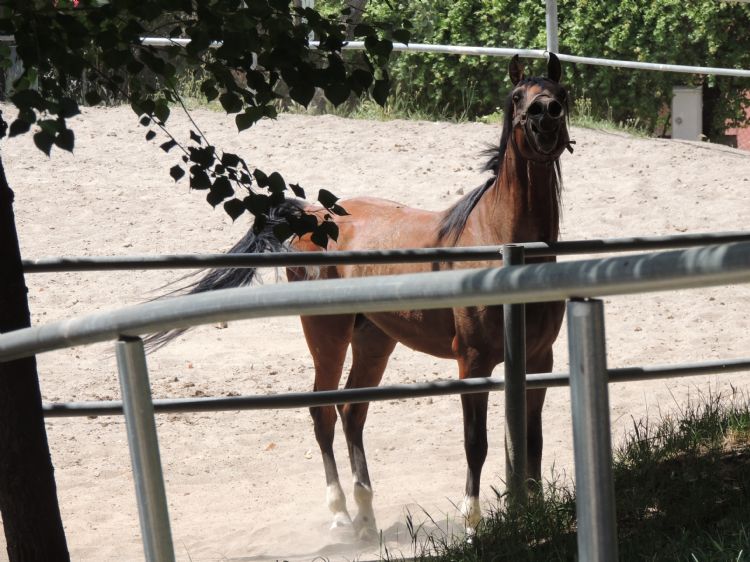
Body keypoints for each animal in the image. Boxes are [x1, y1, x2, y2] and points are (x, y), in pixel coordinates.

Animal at [157, 53, 568, 540]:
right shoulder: (474, 361)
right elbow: (476, 443)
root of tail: (314, 216)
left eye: (562, 94)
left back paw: (366, 516)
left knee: (353, 412)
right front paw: (473, 524)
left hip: (373, 341)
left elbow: (533, 440)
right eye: (518, 96)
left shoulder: (539, 359)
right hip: (327, 338)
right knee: (323, 413)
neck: (499, 241)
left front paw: (535, 512)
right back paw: (339, 514)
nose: (545, 116)